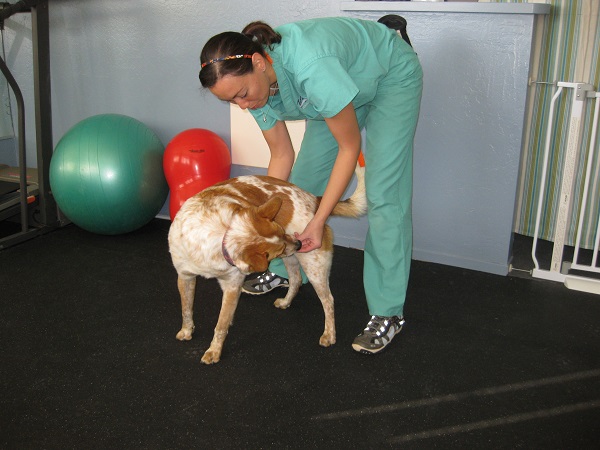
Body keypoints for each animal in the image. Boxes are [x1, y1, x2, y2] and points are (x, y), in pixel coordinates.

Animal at [169, 163, 366, 364]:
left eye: (280, 230)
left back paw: (329, 334)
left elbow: (221, 325)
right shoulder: (184, 277)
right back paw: (286, 302)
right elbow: (186, 309)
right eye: (278, 243)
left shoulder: (232, 286)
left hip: (314, 266)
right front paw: (187, 331)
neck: (221, 234)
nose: (299, 243)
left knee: (328, 300)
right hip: (291, 258)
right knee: (295, 280)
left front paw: (214, 350)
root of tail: (316, 200)